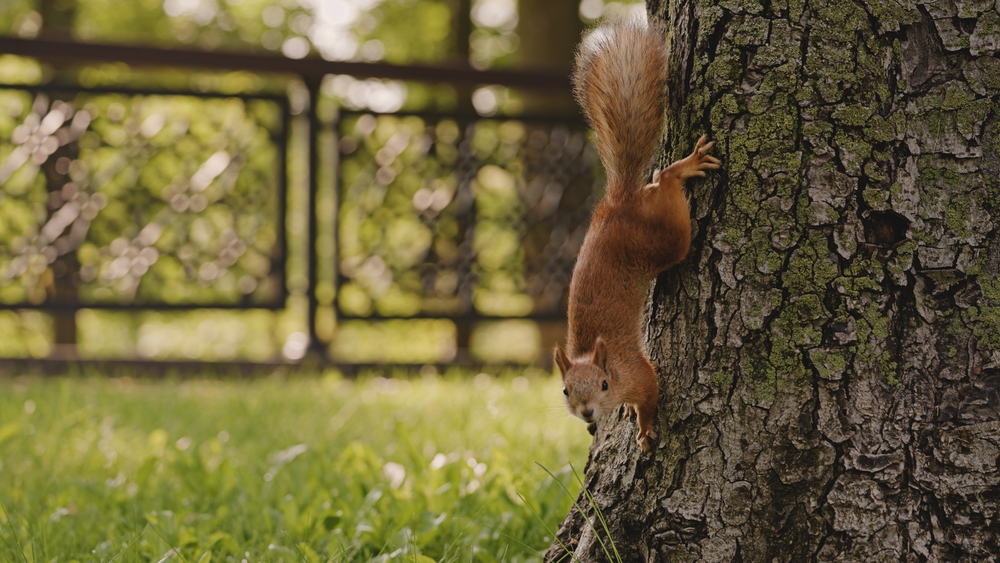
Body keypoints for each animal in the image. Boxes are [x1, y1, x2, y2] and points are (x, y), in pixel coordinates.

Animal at [555, 18, 720, 453]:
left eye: (604, 383)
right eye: (564, 390)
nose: (588, 415)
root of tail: (619, 202)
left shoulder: (638, 372)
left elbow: (650, 395)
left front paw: (644, 429)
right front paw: (630, 415)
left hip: (666, 242)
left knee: (665, 179)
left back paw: (683, 167)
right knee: (657, 182)